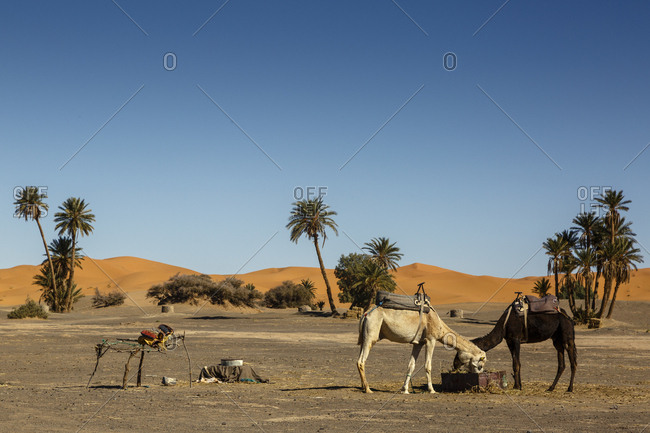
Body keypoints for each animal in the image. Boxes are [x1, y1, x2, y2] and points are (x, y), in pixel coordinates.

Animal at [357, 306, 487, 394]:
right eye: (480, 365)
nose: (479, 375)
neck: (440, 326)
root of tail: (365, 314)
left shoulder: (418, 343)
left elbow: (411, 365)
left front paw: (405, 390)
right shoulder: (431, 339)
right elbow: (428, 365)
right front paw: (432, 390)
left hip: (364, 337)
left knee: (359, 360)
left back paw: (363, 386)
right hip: (371, 334)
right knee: (361, 361)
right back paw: (368, 389)